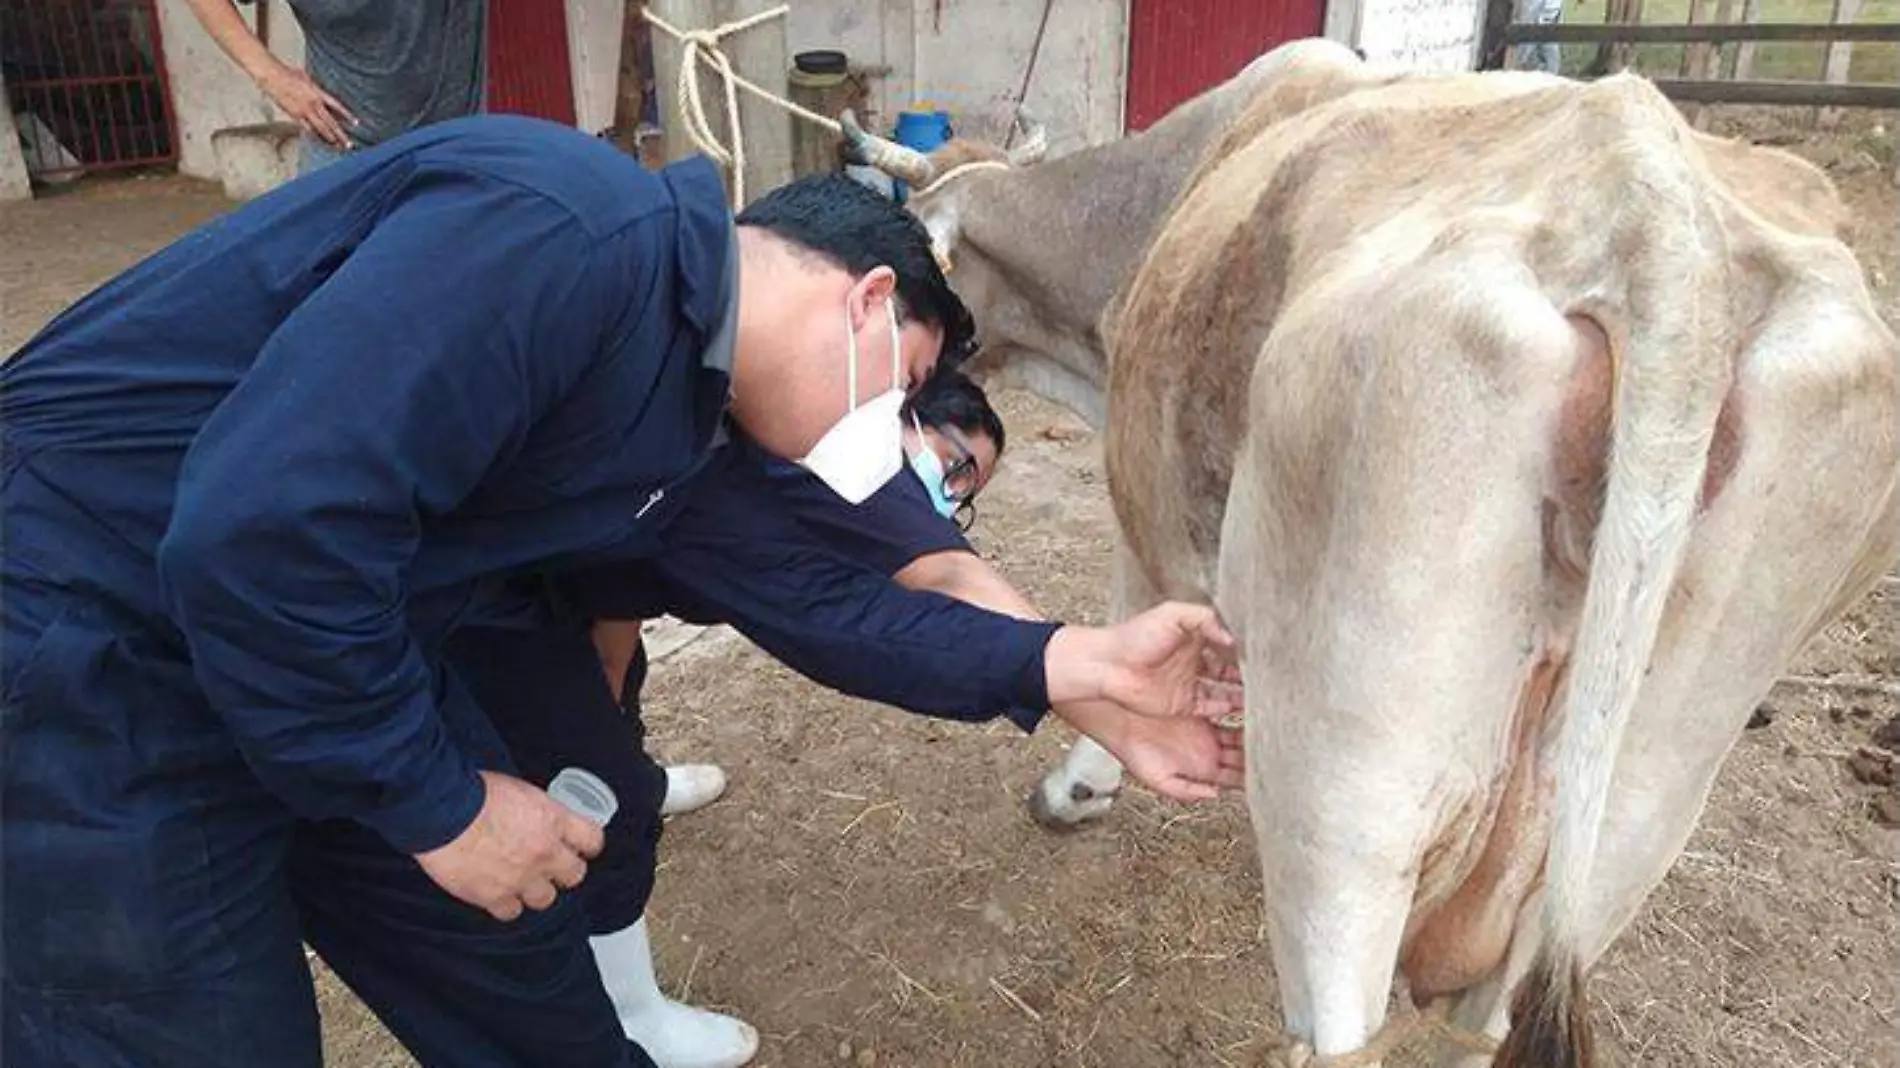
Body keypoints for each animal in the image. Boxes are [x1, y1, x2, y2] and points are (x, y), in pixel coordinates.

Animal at [851, 37, 1900, 1064]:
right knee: (1495, 1016)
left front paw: (1078, 787)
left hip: (1350, 776)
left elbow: (1130, 622)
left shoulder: (1144, 491)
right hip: (1642, 799)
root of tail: (1655, 215)